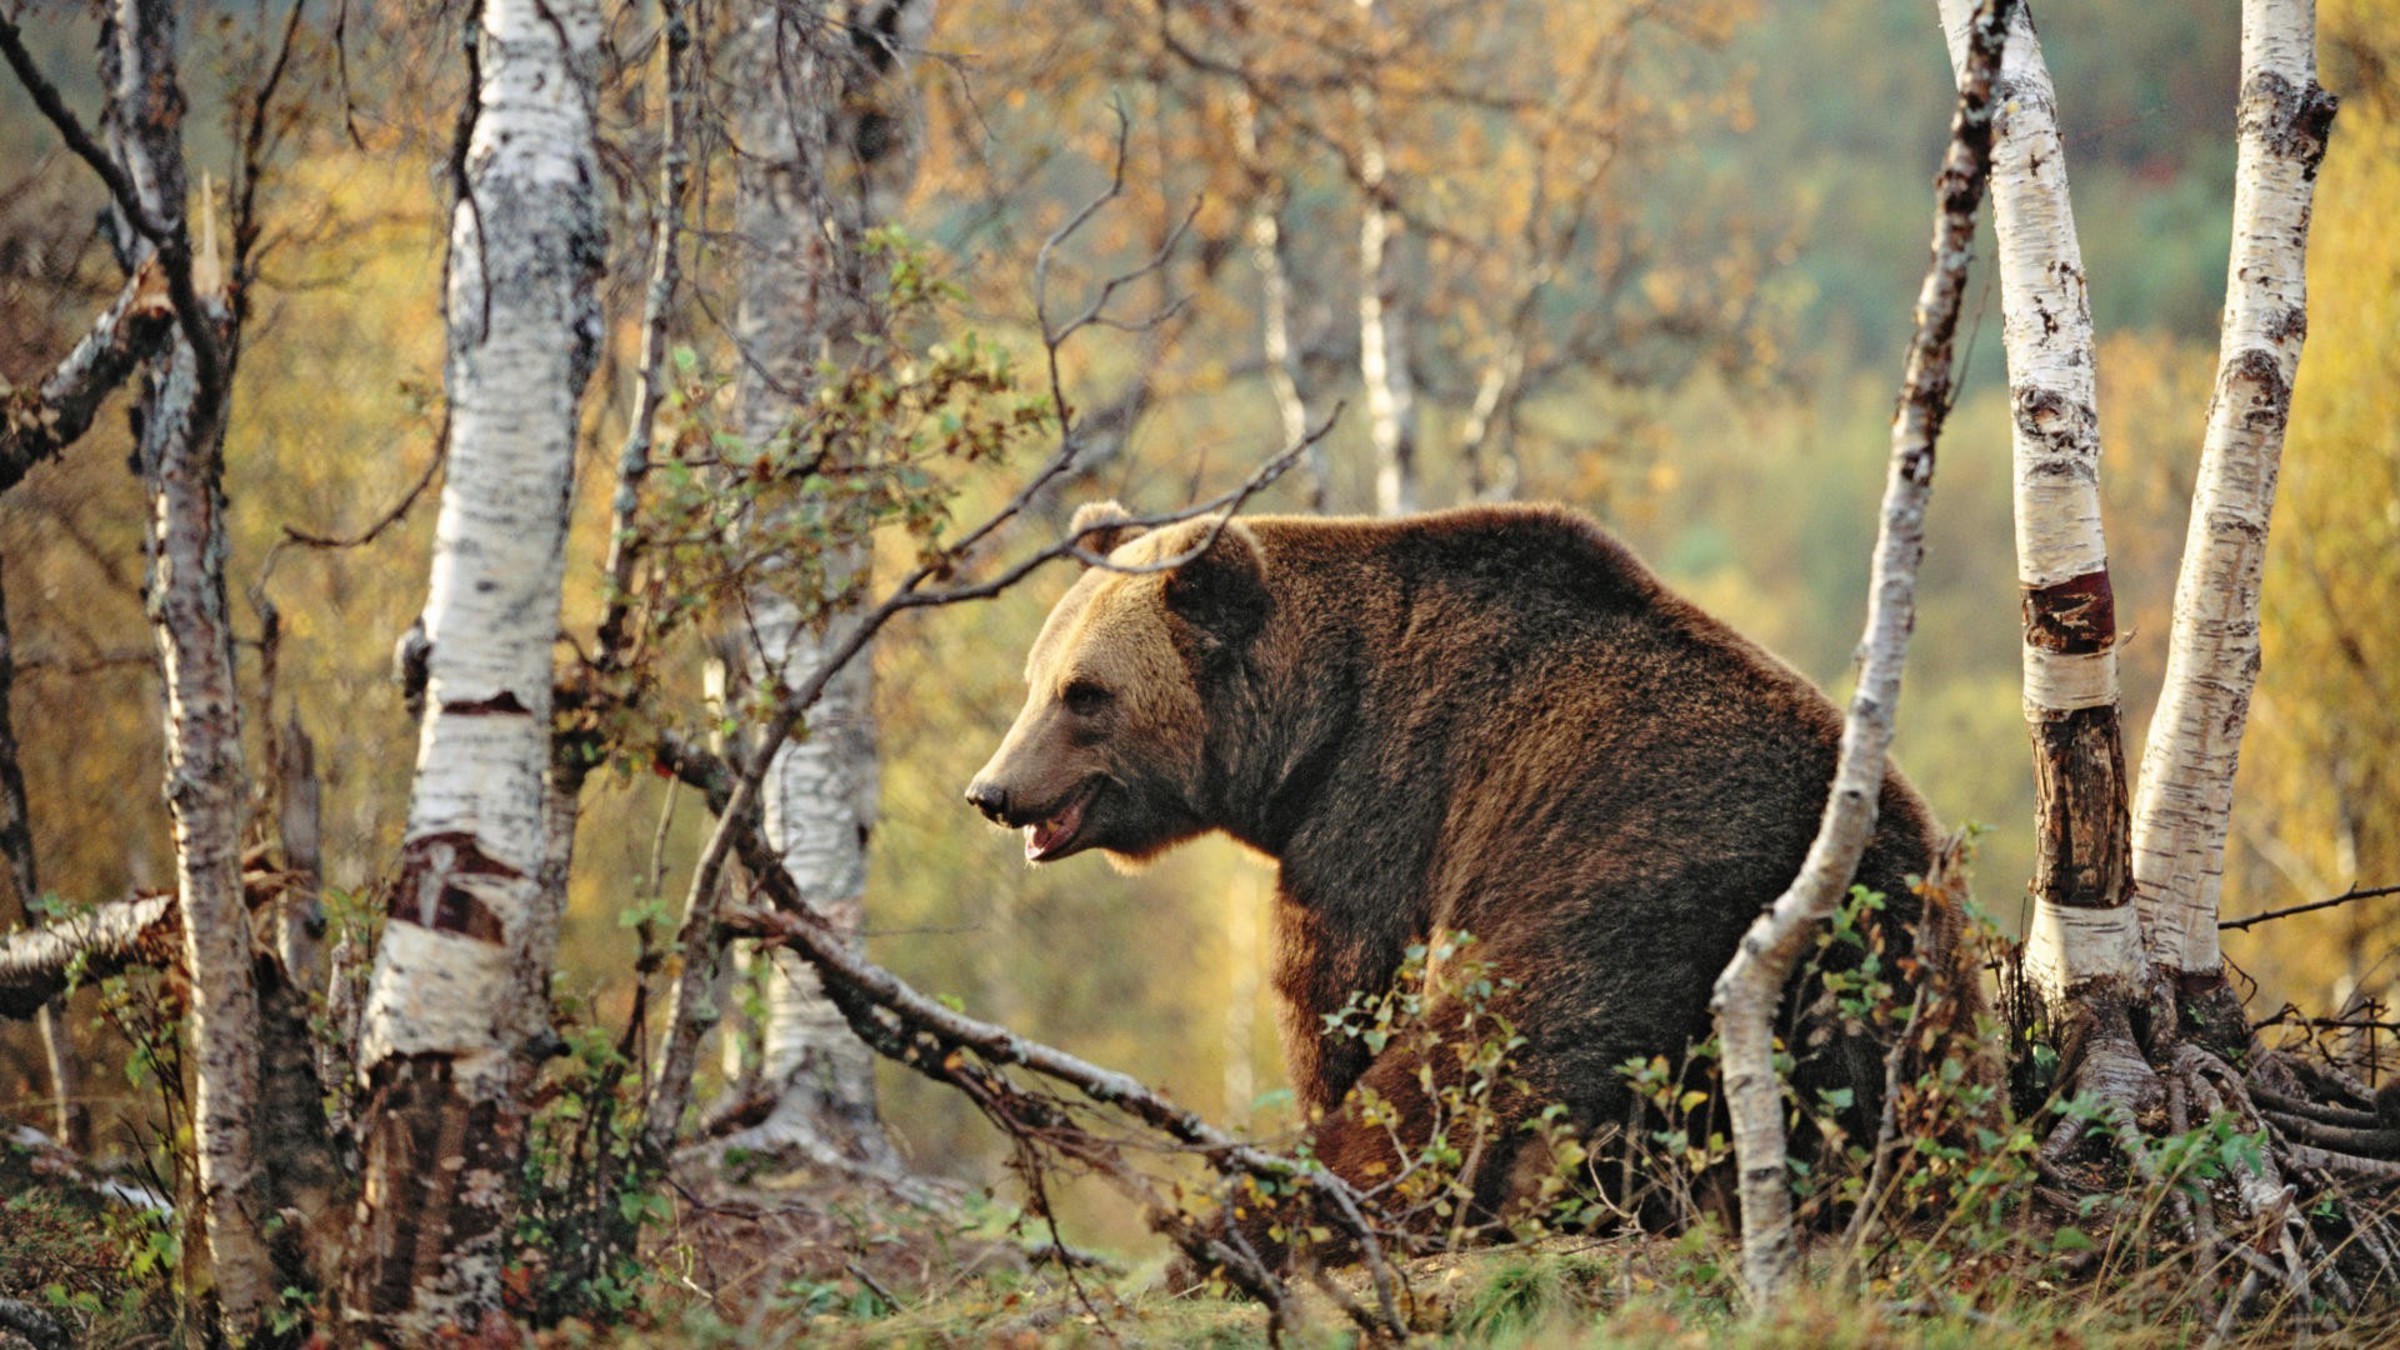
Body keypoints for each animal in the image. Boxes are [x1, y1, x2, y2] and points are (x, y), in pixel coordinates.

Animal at [960, 494, 1948, 1249]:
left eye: (1086, 693)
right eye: (1036, 677)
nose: (992, 790)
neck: (1315, 727)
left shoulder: (1386, 809)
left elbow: (1341, 1001)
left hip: (1627, 915)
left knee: (1465, 1087)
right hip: (1880, 993)